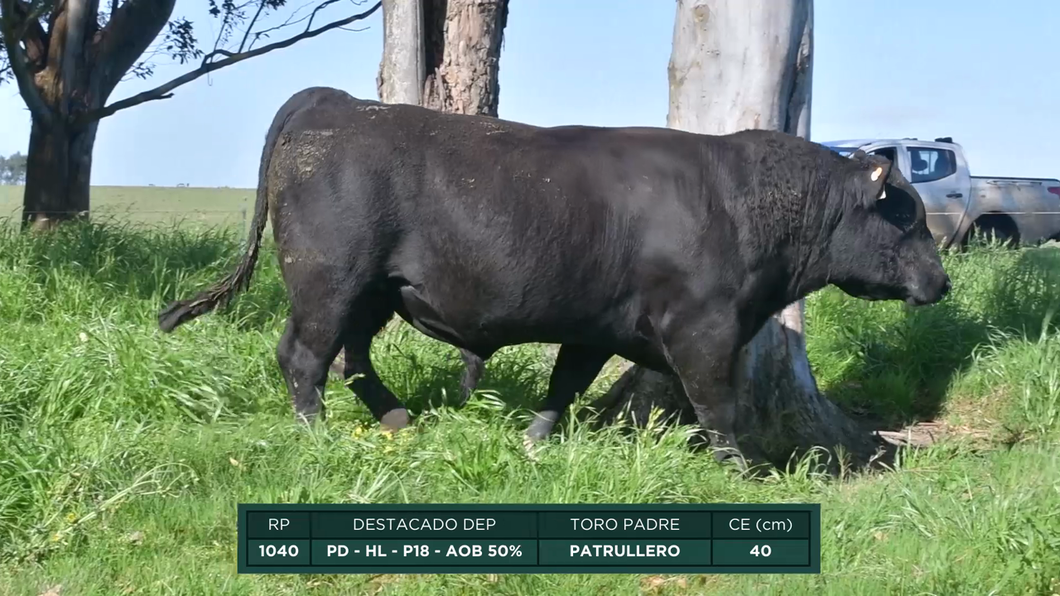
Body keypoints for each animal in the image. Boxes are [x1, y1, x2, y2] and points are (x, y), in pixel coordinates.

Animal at [158, 85, 953, 466]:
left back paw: (395, 418)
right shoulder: (704, 328)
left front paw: (535, 440)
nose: (942, 285)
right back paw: (317, 434)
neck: (744, 203)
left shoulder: (596, 324)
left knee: (352, 359)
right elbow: (717, 405)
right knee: (304, 356)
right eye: (907, 217)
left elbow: (566, 385)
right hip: (330, 280)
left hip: (374, 291)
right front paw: (745, 470)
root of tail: (339, 102)